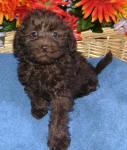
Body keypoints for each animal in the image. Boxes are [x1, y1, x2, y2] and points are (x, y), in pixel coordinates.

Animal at [13, 8, 112, 149]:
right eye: (33, 34)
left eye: (55, 34)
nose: (44, 47)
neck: (44, 66)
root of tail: (94, 71)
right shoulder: (30, 80)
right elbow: (36, 95)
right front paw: (39, 108)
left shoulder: (61, 93)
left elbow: (59, 117)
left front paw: (58, 139)